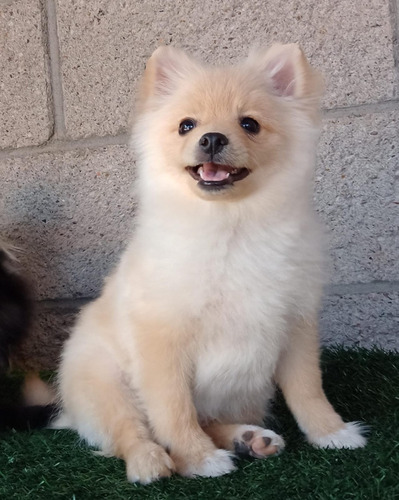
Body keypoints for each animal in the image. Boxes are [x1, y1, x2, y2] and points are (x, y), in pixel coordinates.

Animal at [54, 44, 368, 484]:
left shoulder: (297, 323)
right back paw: (151, 460)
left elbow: (308, 390)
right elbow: (174, 409)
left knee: (209, 419)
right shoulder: (163, 338)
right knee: (131, 430)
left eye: (250, 124)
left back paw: (248, 438)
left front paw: (331, 432)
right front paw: (197, 458)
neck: (231, 223)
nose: (212, 138)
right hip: (104, 383)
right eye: (186, 125)